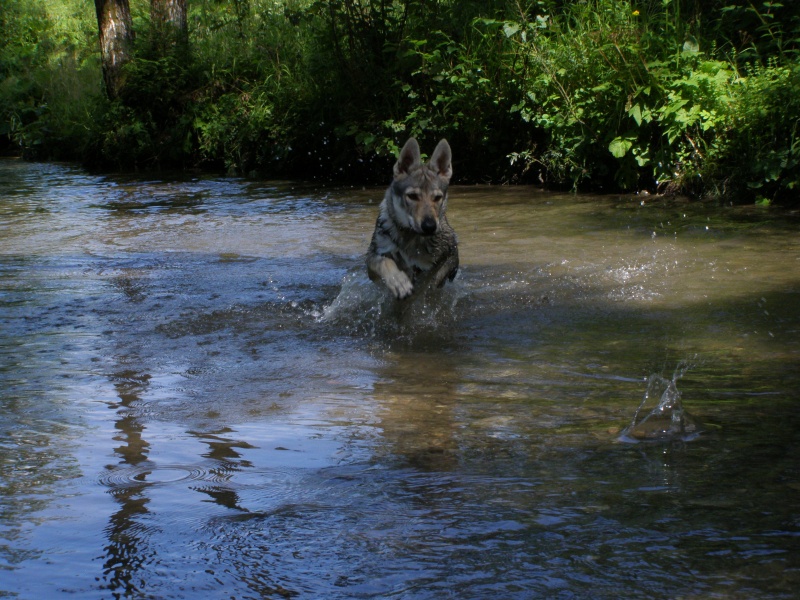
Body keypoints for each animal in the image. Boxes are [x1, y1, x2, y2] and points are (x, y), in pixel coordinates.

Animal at [368, 139, 460, 300]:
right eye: (412, 196)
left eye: (437, 197)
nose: (429, 226)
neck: (410, 237)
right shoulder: (372, 257)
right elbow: (385, 262)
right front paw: (398, 282)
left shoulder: (443, 259)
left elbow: (428, 281)